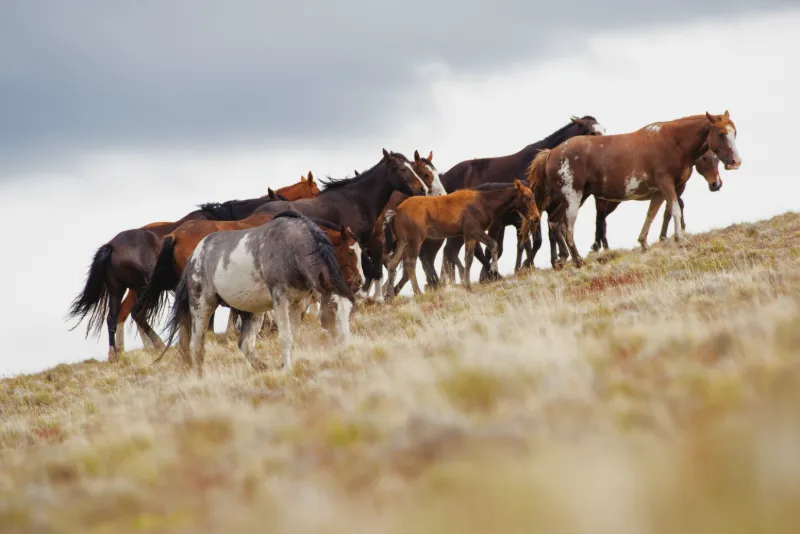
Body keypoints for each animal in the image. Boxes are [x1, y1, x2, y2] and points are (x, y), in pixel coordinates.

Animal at [66, 175, 319, 362]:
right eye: (314, 189)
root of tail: (111, 246)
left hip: (120, 289)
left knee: (115, 317)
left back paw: (117, 355)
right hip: (142, 288)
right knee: (136, 314)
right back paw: (154, 345)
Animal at [158, 212, 357, 376]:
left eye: (350, 309)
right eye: (332, 308)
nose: (345, 347)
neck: (290, 247)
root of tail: (194, 256)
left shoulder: (298, 303)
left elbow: (293, 336)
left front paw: (285, 365)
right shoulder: (280, 299)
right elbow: (285, 337)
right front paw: (287, 369)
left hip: (252, 311)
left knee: (245, 344)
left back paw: (262, 367)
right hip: (202, 306)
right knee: (197, 347)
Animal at [384, 180, 539, 295]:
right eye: (528, 198)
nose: (536, 218)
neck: (483, 203)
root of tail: (396, 212)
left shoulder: (468, 235)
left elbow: (468, 258)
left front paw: (468, 285)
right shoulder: (474, 230)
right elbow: (494, 245)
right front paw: (493, 270)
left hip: (403, 242)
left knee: (393, 263)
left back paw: (388, 294)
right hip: (415, 240)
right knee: (410, 263)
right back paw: (417, 292)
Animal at [412, 116, 605, 290]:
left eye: (603, 130)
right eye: (591, 132)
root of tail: (443, 178)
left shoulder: (541, 211)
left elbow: (543, 237)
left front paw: (552, 261)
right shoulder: (527, 214)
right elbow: (532, 241)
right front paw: (525, 265)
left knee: (449, 252)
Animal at [592, 150, 723, 252]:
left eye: (718, 159)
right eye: (705, 158)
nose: (716, 185)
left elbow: (675, 207)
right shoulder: (674, 188)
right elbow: (670, 210)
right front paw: (664, 236)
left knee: (601, 220)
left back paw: (601, 246)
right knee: (600, 219)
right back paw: (601, 247)